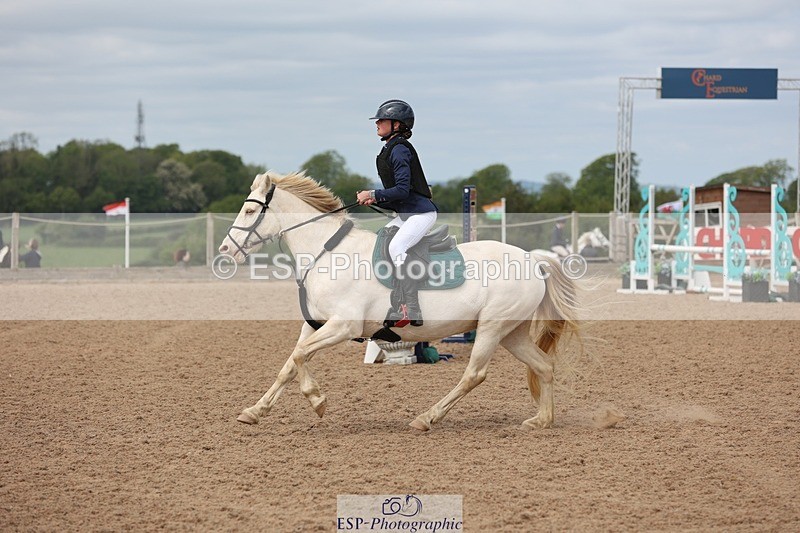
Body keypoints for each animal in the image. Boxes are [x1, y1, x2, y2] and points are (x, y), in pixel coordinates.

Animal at [218, 171, 583, 431]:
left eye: (249, 210)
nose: (225, 250)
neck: (327, 251)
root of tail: (532, 259)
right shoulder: (317, 325)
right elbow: (291, 362)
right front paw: (254, 411)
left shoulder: (343, 326)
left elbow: (299, 357)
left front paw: (317, 400)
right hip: (511, 332)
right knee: (543, 366)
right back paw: (542, 420)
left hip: (493, 328)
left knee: (474, 374)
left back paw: (427, 418)